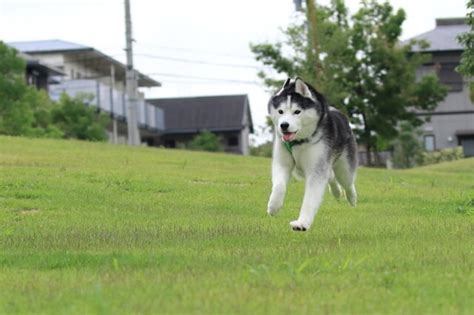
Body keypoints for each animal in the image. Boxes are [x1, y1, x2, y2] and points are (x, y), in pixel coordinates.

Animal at [266, 78, 356, 232]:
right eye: (280, 111)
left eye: (297, 112)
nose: (284, 125)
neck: (298, 142)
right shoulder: (282, 162)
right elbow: (279, 186)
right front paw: (273, 206)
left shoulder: (317, 169)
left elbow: (310, 199)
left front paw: (302, 223)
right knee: (331, 176)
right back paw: (337, 192)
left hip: (344, 168)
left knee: (347, 182)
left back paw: (352, 198)